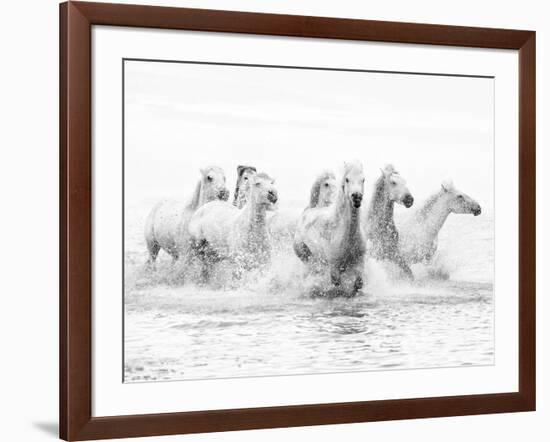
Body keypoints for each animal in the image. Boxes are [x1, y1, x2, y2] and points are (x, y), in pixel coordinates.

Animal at [296, 162, 368, 296]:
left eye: (363, 179)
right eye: (347, 179)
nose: (356, 197)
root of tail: (310, 210)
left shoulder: (359, 260)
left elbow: (359, 283)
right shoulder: (334, 265)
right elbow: (336, 282)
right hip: (305, 255)